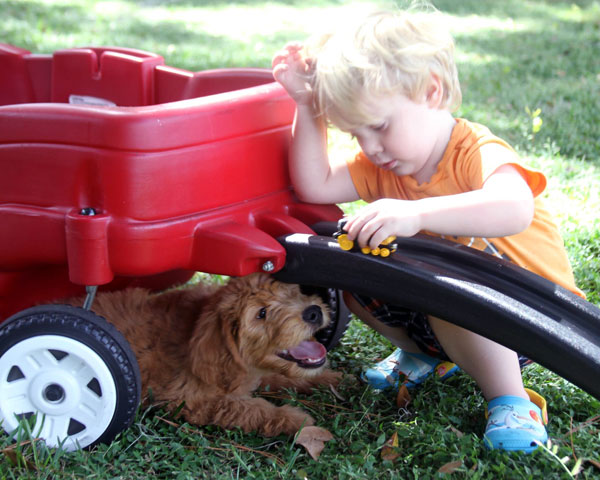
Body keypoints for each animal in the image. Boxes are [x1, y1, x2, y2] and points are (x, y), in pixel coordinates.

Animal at [71, 274, 338, 436]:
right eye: (261, 313)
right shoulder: (189, 400)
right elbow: (248, 408)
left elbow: (281, 377)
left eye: (292, 291)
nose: (313, 312)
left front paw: (330, 379)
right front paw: (294, 418)